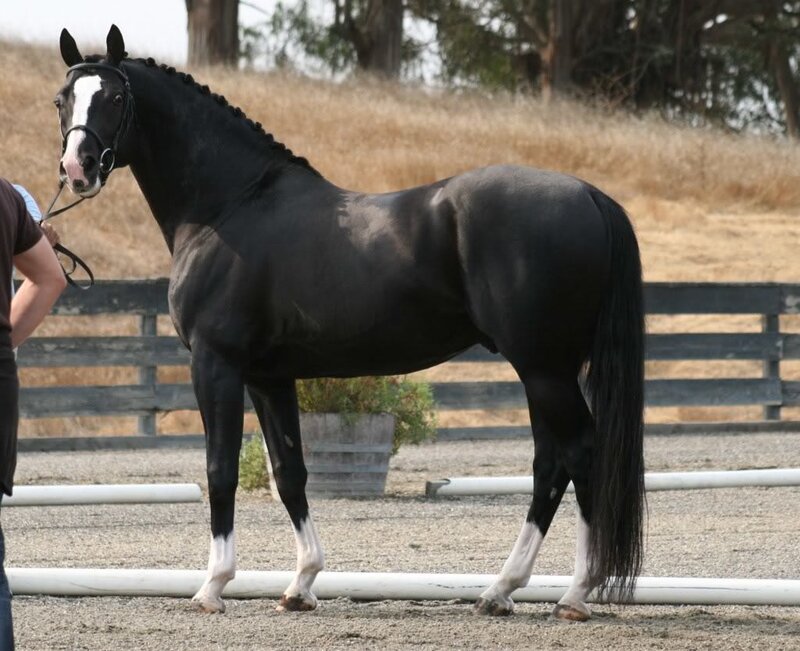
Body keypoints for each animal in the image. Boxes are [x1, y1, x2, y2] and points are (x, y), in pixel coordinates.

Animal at [53, 25, 646, 620]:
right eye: (63, 100)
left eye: (116, 98)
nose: (79, 168)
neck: (229, 206)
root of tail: (588, 193)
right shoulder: (269, 376)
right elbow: (290, 472)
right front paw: (301, 584)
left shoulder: (216, 364)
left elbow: (220, 470)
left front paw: (213, 586)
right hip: (543, 368)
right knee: (550, 465)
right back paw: (500, 590)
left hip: (543, 367)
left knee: (580, 453)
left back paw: (574, 593)